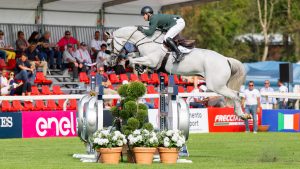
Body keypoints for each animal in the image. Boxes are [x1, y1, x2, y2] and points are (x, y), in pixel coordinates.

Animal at [111, 26, 247, 119]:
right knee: (236, 94)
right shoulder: (147, 59)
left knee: (235, 95)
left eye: (109, 43)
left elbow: (132, 59)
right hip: (219, 85)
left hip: (216, 86)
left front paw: (134, 67)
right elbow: (133, 56)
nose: (112, 58)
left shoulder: (152, 60)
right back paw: (241, 114)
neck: (147, 40)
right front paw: (138, 68)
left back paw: (242, 115)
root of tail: (226, 59)